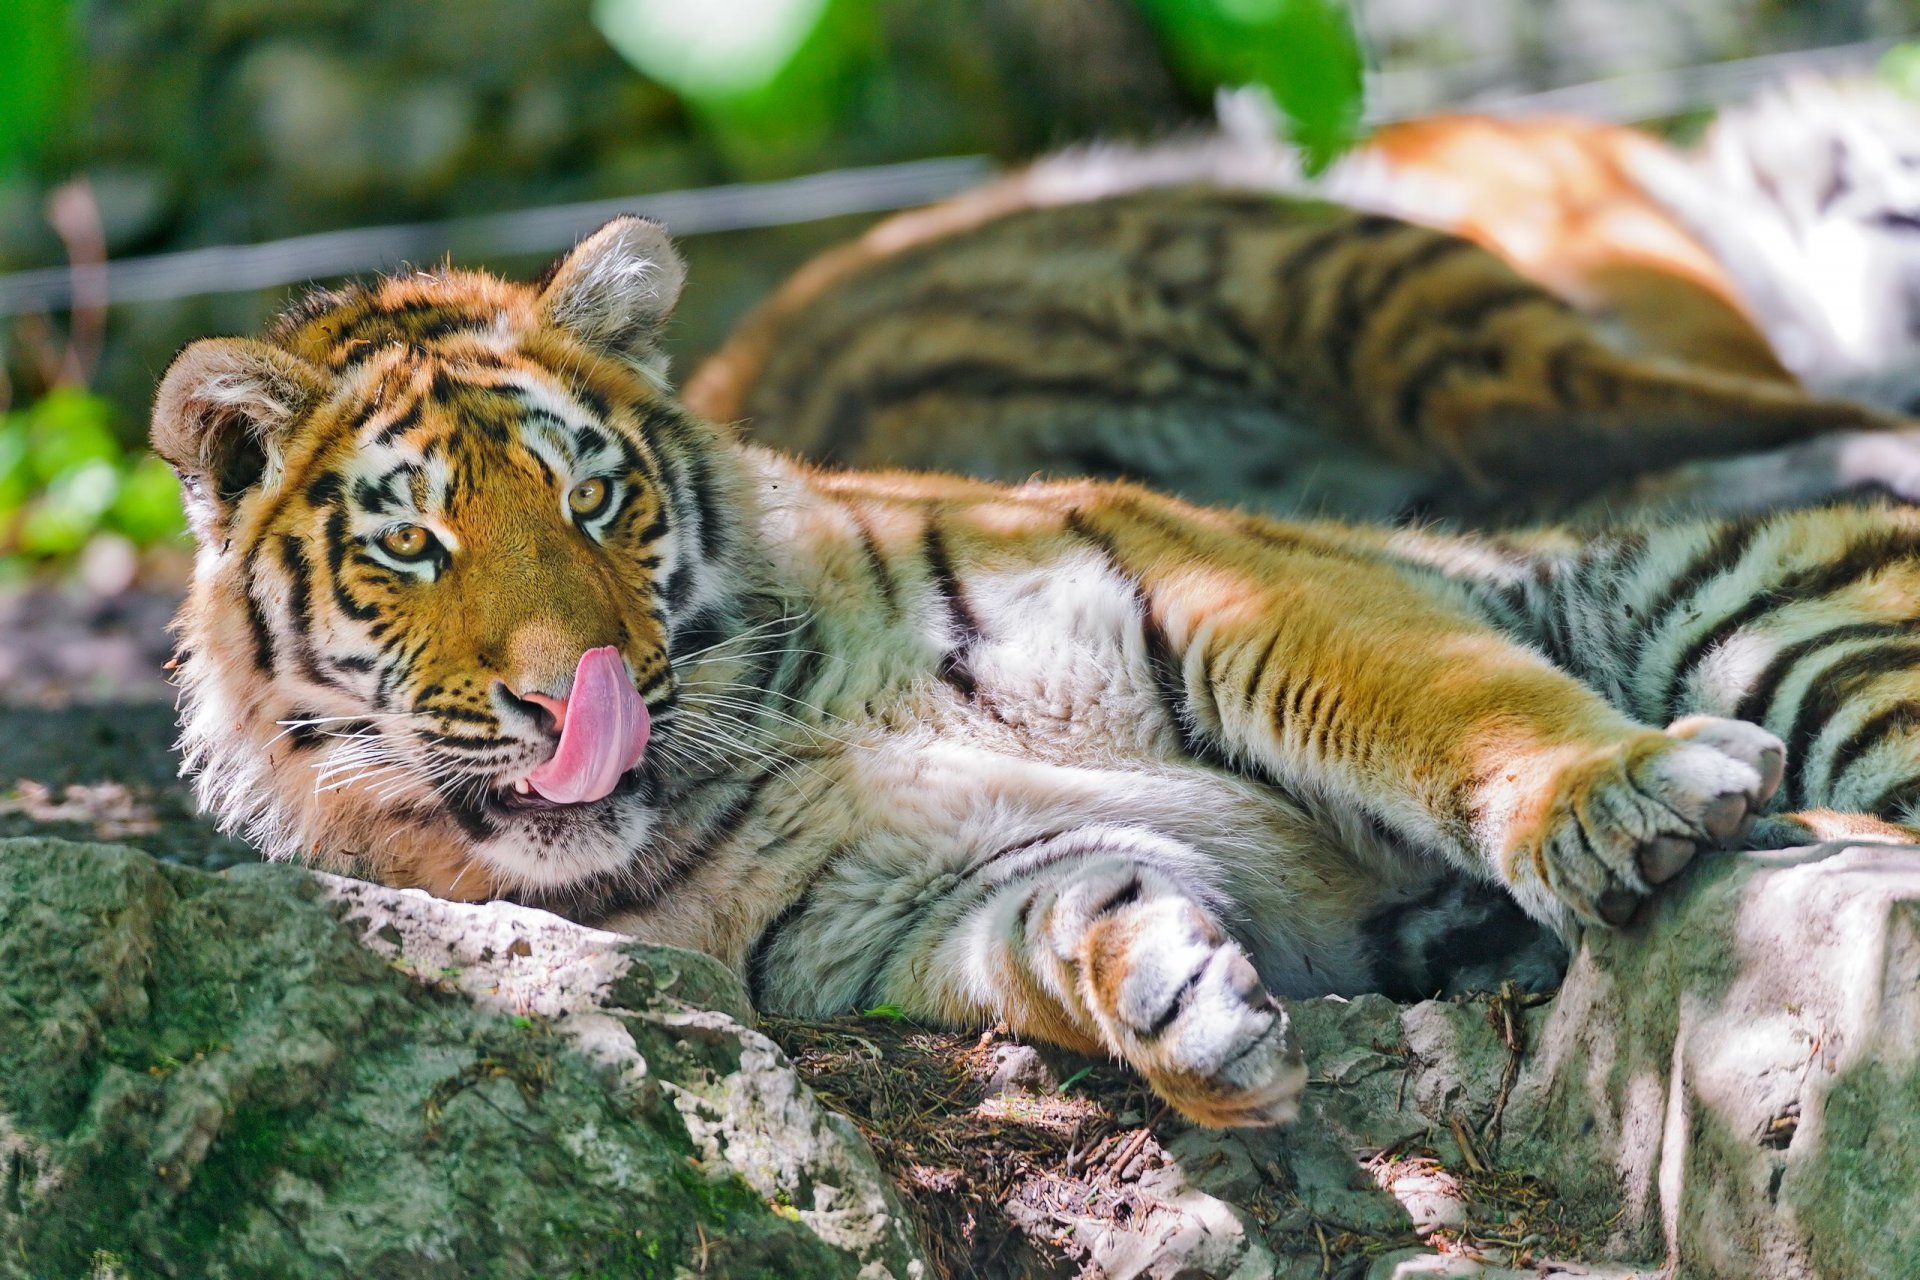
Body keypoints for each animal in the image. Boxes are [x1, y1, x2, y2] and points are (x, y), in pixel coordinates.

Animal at [154, 216, 1920, 1128]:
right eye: (414, 544)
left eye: (595, 501)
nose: (569, 695)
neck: (767, 731)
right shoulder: (896, 910)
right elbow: (1066, 916)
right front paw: (1179, 1006)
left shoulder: (1227, 594)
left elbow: (1447, 704)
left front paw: (1617, 791)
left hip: (1761, 612)